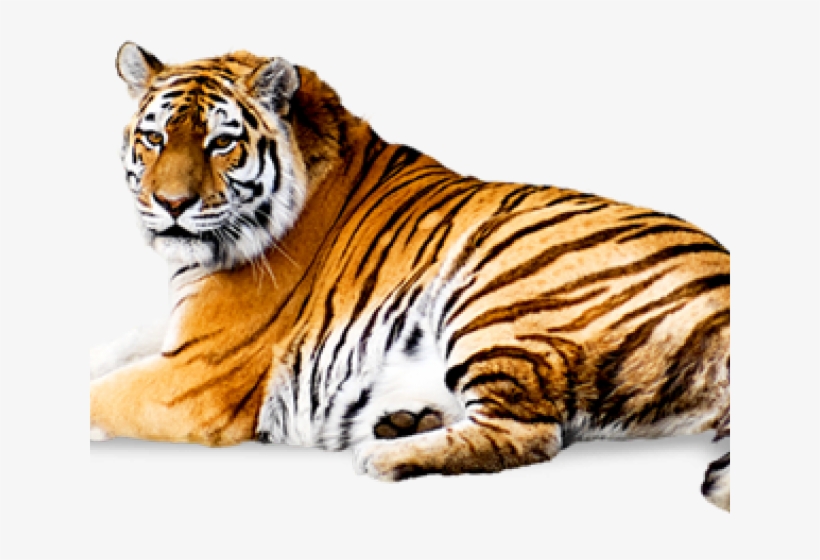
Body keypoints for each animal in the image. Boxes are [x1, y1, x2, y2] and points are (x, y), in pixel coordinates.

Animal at [91, 42, 731, 511]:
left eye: (221, 143)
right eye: (153, 138)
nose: (171, 204)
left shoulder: (195, 376)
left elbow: (97, 394)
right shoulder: (177, 335)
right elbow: (107, 352)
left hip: (496, 295)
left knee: (529, 433)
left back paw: (383, 456)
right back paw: (402, 421)